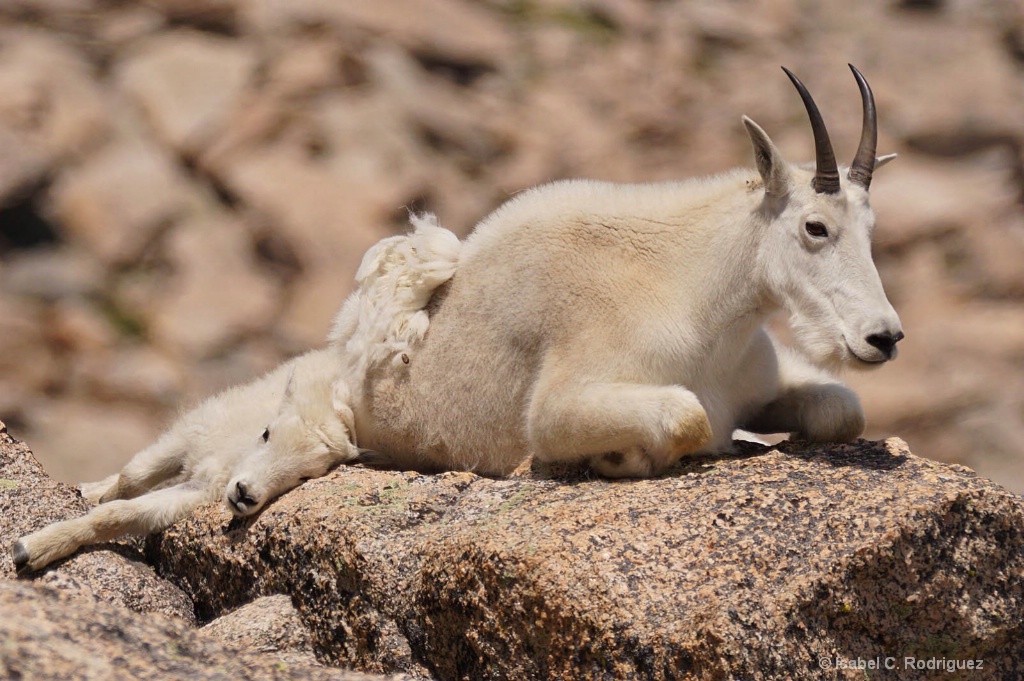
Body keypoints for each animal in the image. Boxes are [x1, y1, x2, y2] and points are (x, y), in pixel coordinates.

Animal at [352, 63, 905, 477]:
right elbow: (687, 417)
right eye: (816, 227)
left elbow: (844, 411)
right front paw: (618, 458)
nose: (884, 337)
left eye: (871, 229)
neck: (702, 303)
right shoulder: (557, 408)